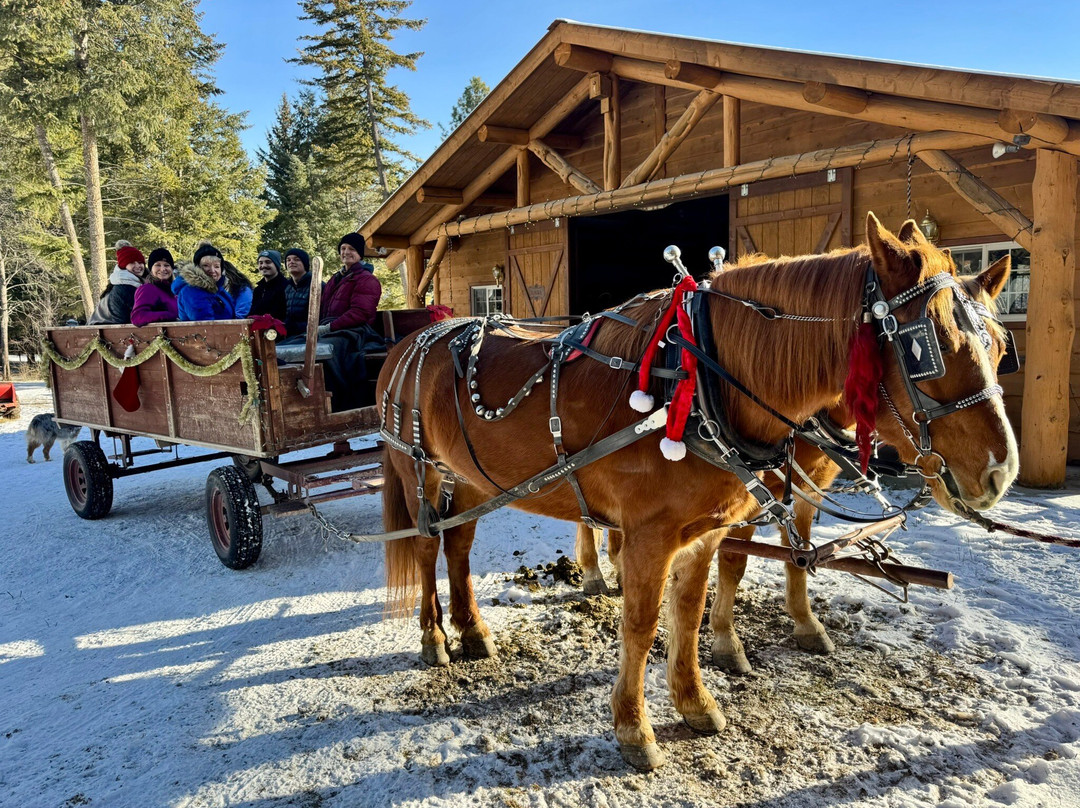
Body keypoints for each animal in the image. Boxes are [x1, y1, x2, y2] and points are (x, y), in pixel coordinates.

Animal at [376, 213, 1018, 770]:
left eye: (999, 344)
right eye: (926, 346)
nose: (1001, 471)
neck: (698, 378)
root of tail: (412, 341)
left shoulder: (711, 526)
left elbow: (691, 608)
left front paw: (696, 700)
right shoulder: (651, 534)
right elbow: (642, 624)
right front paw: (634, 728)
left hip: (468, 477)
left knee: (459, 546)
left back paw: (473, 629)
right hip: (418, 471)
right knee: (428, 547)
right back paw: (435, 637)